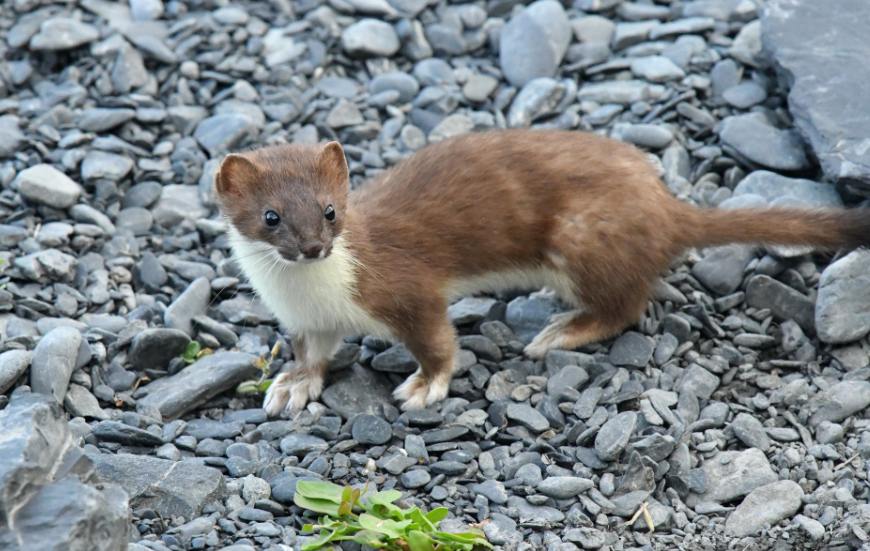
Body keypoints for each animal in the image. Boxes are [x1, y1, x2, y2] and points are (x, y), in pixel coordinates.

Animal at [216, 130, 870, 418]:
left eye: (331, 209)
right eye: (271, 217)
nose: (313, 247)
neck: (314, 295)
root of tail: (663, 203)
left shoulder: (407, 289)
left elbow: (437, 341)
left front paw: (425, 385)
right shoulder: (305, 321)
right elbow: (311, 355)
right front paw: (292, 385)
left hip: (582, 237)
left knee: (626, 303)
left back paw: (561, 331)